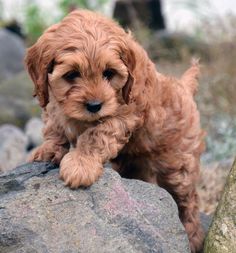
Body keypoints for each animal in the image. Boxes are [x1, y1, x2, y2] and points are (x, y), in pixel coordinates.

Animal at [25, 9, 205, 253]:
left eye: (109, 73)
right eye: (71, 75)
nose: (94, 106)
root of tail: (184, 87)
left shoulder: (125, 113)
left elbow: (96, 135)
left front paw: (80, 164)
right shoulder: (54, 102)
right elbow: (54, 125)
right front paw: (48, 150)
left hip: (178, 165)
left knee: (188, 200)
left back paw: (192, 236)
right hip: (135, 163)